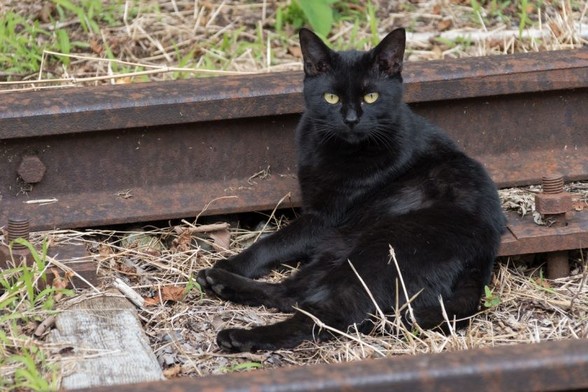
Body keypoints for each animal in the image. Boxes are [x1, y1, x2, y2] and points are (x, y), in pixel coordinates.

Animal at [199, 27, 506, 352]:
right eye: (331, 97)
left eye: (371, 97)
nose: (351, 119)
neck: (335, 150)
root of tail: (482, 261)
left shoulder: (324, 218)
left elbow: (273, 242)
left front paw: (232, 262)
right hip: (340, 250)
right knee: (292, 294)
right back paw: (218, 282)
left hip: (375, 253)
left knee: (323, 316)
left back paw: (239, 334)